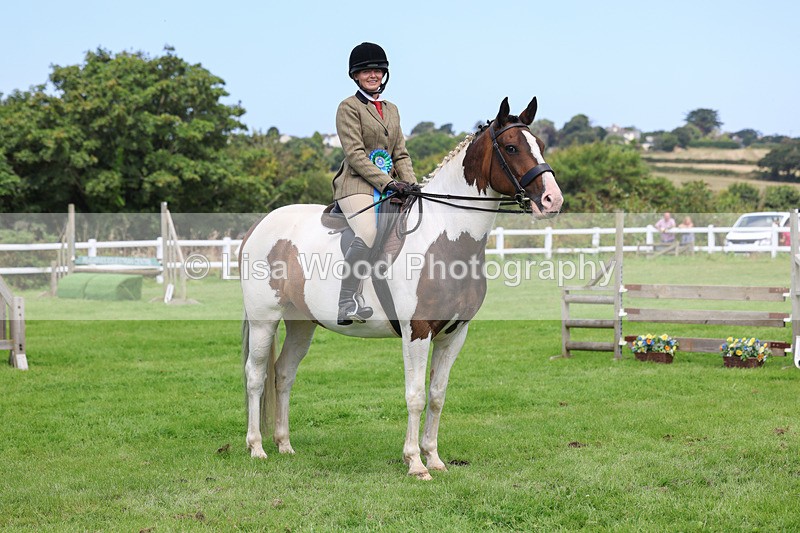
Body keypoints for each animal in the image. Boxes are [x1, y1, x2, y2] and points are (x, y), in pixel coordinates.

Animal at [239, 96, 563, 480]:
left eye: (539, 144)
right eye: (512, 147)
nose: (552, 201)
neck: (446, 236)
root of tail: (259, 225)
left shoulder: (455, 334)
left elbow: (437, 395)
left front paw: (434, 458)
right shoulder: (417, 331)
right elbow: (416, 396)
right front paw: (415, 463)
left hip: (302, 324)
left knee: (284, 374)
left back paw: (285, 445)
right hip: (264, 320)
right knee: (256, 376)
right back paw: (257, 448)